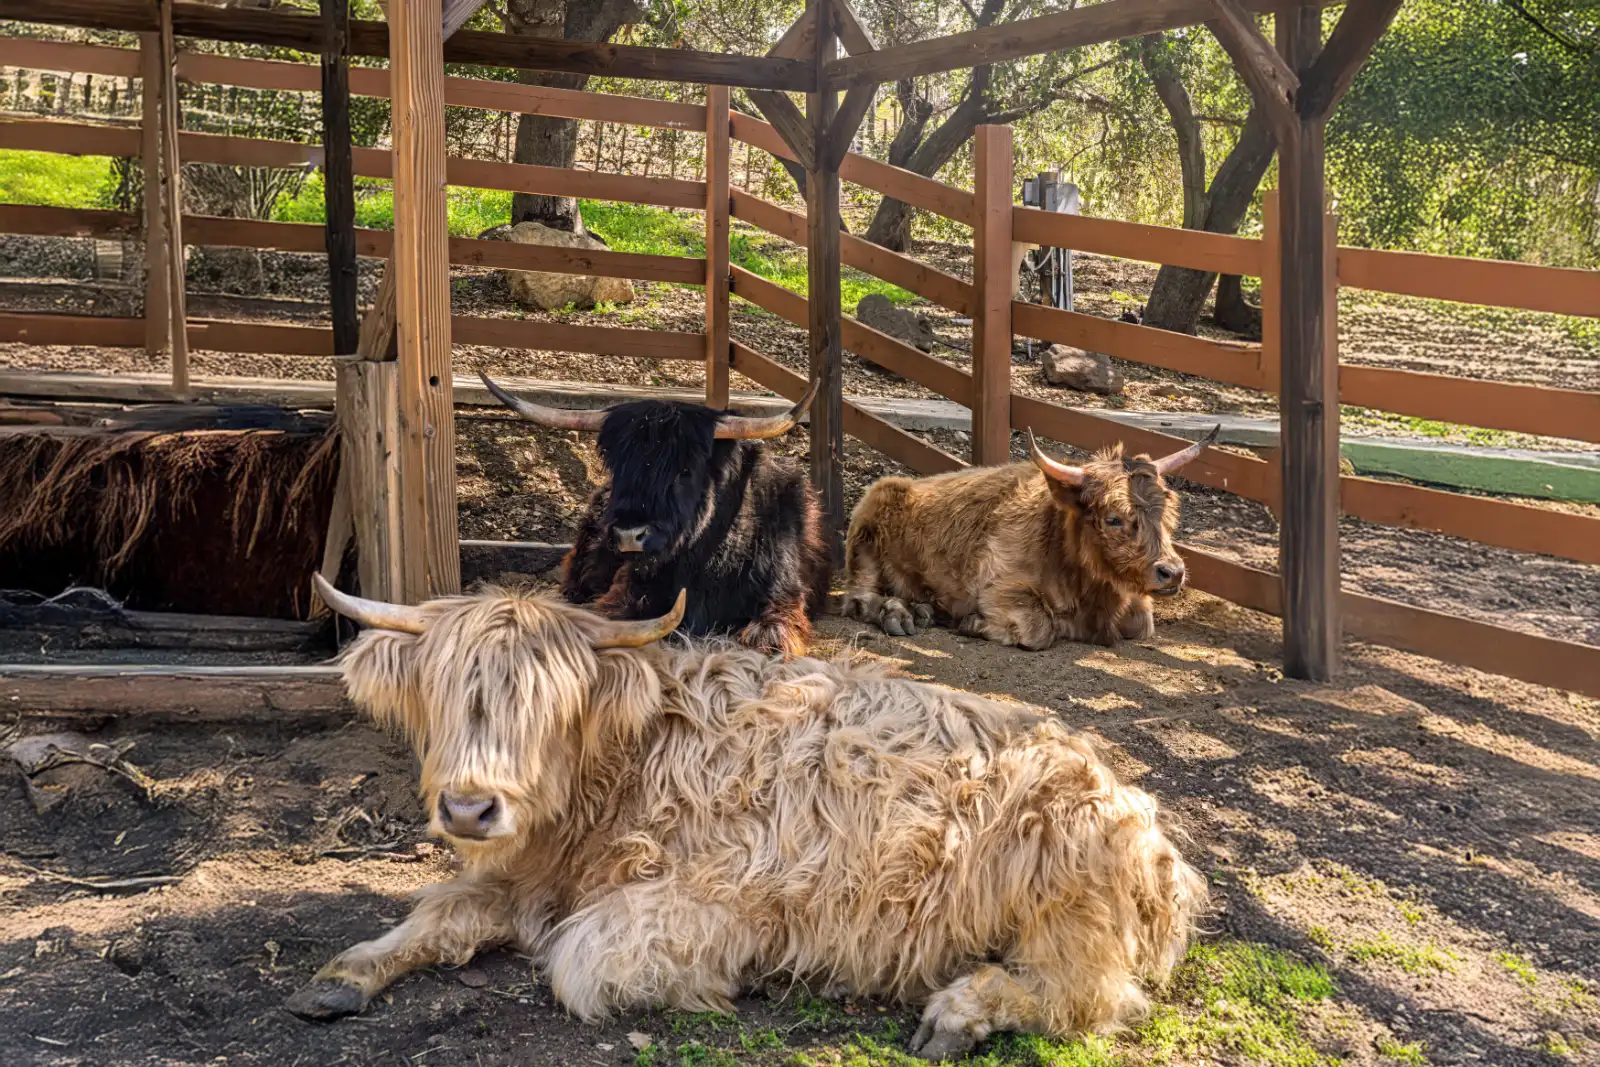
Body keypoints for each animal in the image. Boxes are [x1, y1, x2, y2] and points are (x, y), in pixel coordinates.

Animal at [289, 575, 1207, 1060]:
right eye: (448, 692)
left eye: (548, 704)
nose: (470, 806)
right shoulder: (525, 876)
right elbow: (440, 910)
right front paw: (344, 974)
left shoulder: (716, 895)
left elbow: (580, 961)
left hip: (1066, 906)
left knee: (1085, 995)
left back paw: (960, 1010)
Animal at [479, 373, 830, 656]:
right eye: (618, 466)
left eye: (685, 470)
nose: (628, 534)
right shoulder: (626, 595)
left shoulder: (782, 597)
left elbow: (769, 638)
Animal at [842, 427, 1219, 650]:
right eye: (1113, 519)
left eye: (1168, 512)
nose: (1172, 573)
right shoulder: (999, 587)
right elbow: (1039, 627)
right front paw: (974, 623)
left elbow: (1141, 624)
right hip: (867, 537)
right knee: (859, 597)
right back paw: (896, 615)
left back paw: (920, 611)